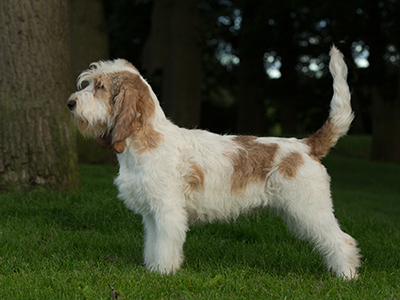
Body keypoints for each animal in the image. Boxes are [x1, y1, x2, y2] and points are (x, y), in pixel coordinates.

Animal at [67, 46, 360, 278]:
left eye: (100, 87)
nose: (70, 103)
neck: (147, 140)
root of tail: (305, 145)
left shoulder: (168, 211)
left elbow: (166, 246)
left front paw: (163, 274)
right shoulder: (152, 214)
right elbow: (153, 244)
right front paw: (151, 269)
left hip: (311, 208)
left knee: (341, 240)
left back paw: (346, 277)